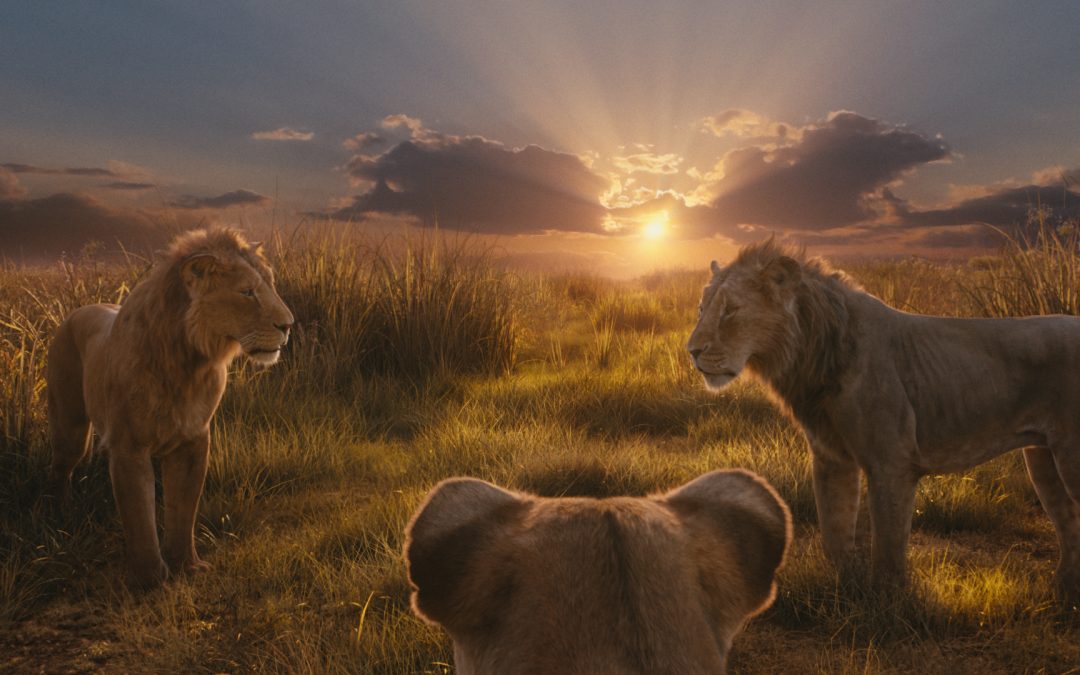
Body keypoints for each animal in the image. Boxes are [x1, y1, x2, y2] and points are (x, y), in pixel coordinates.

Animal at [46, 227, 293, 588]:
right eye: (247, 292)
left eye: (271, 285)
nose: (288, 325)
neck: (188, 362)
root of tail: (77, 311)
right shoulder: (129, 446)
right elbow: (139, 515)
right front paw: (150, 578)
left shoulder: (193, 440)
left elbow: (182, 509)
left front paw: (186, 565)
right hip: (70, 427)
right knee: (60, 468)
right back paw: (60, 517)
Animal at [687, 239, 1080, 603]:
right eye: (702, 309)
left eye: (731, 310)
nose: (692, 351)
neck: (813, 353)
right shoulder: (832, 458)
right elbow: (835, 532)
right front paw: (848, 590)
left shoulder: (891, 462)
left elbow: (889, 545)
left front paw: (888, 604)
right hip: (1042, 459)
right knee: (1069, 525)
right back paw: (1062, 594)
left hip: (1068, 457)